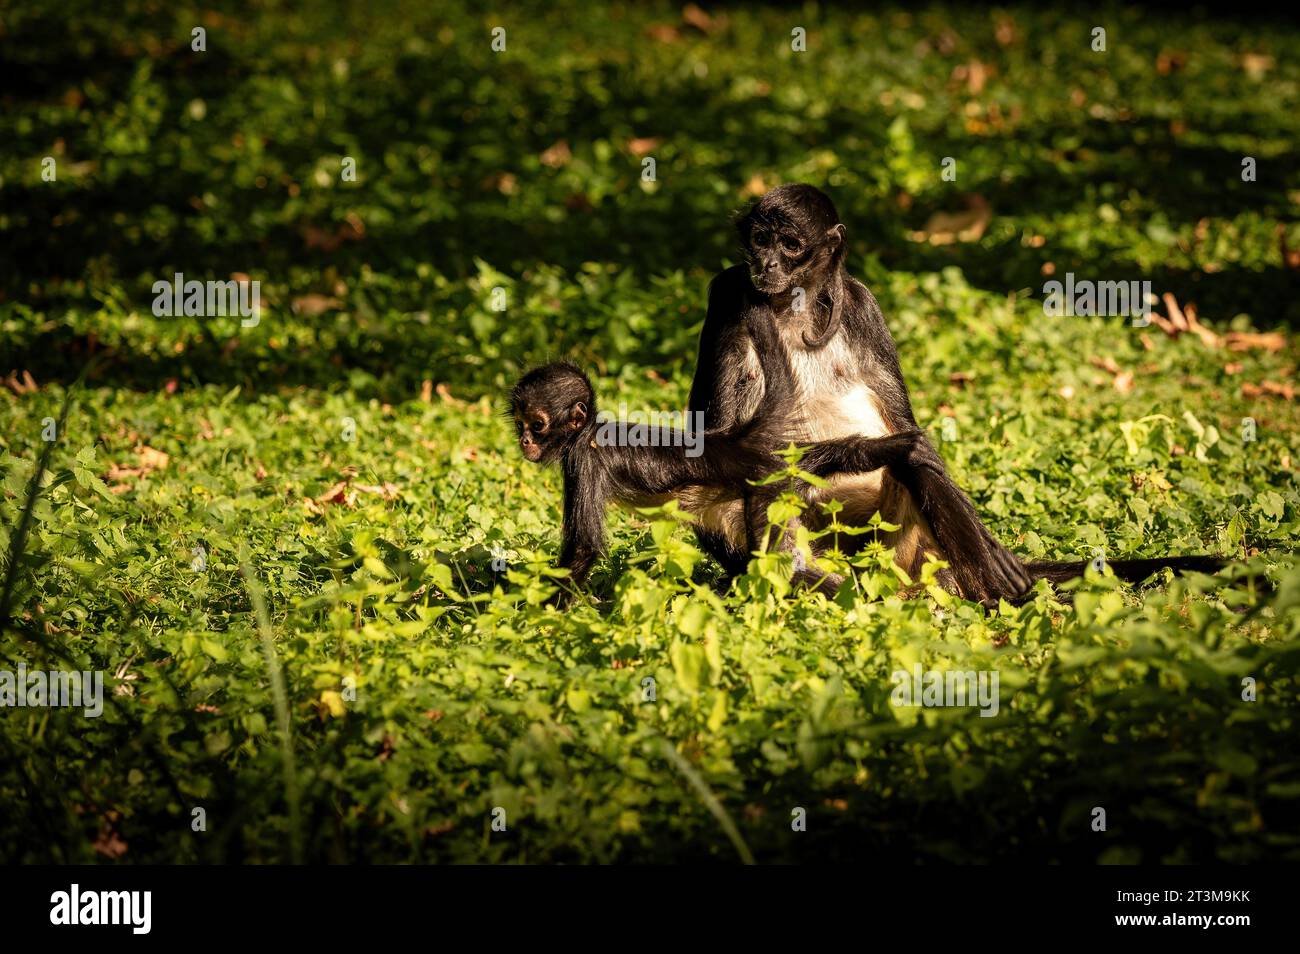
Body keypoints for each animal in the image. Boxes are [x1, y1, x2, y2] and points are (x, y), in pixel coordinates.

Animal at [506, 311, 925, 597]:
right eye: (520, 423)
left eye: (538, 425)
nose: (525, 442)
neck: (590, 430)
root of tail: (732, 441)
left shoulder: (583, 459)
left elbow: (583, 549)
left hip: (765, 490)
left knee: (778, 566)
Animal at [686, 183, 1222, 608]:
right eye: (761, 240)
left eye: (792, 244)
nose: (768, 262)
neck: (793, 304)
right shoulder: (729, 292)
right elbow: (714, 441)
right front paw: (869, 449)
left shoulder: (861, 304)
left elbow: (908, 431)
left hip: (904, 554)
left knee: (917, 470)